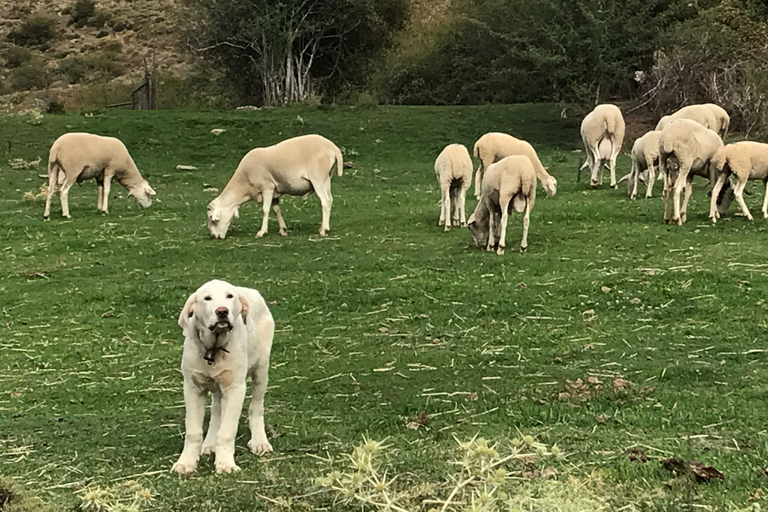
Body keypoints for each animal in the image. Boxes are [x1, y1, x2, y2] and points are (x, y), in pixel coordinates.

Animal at [172, 280, 274, 476]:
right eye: (207, 298)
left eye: (229, 296)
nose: (222, 312)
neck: (213, 347)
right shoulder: (192, 387)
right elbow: (193, 431)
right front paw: (186, 462)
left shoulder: (235, 388)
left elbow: (227, 431)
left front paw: (226, 464)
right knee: (217, 411)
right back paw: (210, 443)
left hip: (261, 369)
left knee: (256, 407)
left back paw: (260, 441)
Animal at [208, 135, 344, 241]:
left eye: (212, 219)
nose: (214, 237)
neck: (244, 185)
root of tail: (333, 148)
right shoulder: (274, 191)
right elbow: (276, 209)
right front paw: (283, 229)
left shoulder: (267, 187)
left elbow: (265, 210)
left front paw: (261, 232)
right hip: (327, 178)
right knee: (330, 200)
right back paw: (323, 227)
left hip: (318, 178)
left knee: (325, 201)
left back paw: (324, 230)